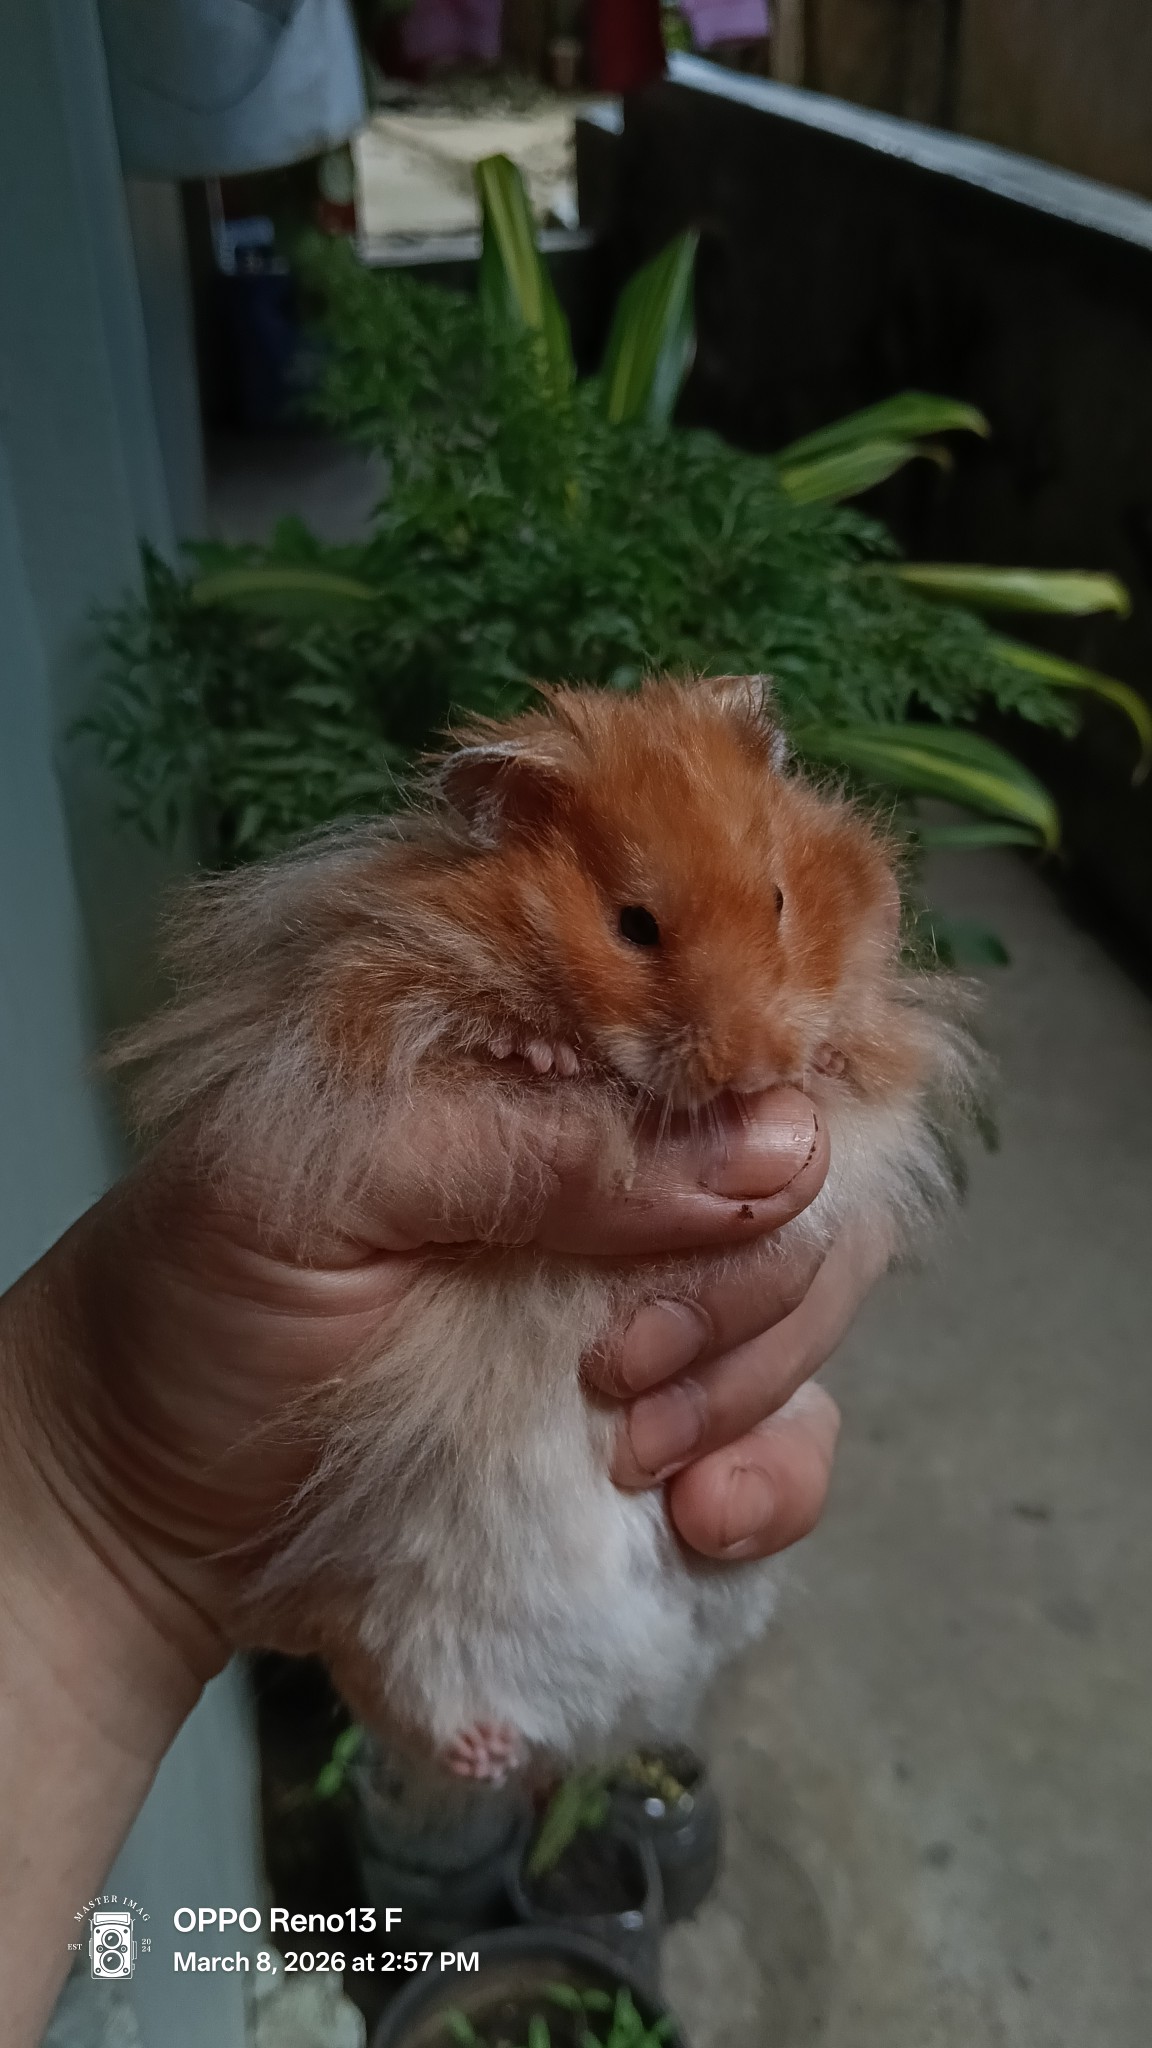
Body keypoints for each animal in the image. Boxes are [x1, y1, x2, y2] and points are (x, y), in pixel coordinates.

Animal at [111, 674, 977, 1777]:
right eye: (633, 924)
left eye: (780, 900)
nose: (751, 1066)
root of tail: (612, 1709)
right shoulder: (358, 1013)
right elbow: (470, 1036)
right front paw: (542, 1057)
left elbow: (861, 1074)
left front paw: (817, 1062)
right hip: (395, 1622)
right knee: (417, 1700)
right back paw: (484, 1750)